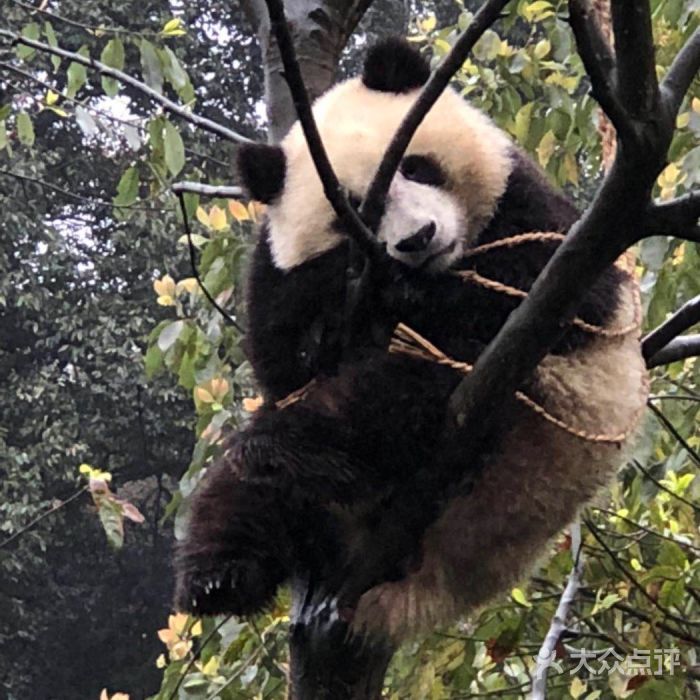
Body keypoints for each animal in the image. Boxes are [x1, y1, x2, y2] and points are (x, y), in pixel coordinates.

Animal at [172, 37, 648, 640]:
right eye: (355, 211)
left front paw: (406, 294)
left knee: (388, 400)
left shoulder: (536, 212)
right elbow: (282, 355)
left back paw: (290, 446)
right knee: (239, 493)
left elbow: (550, 286)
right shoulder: (275, 271)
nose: (419, 239)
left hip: (536, 410)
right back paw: (219, 572)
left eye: (416, 167)